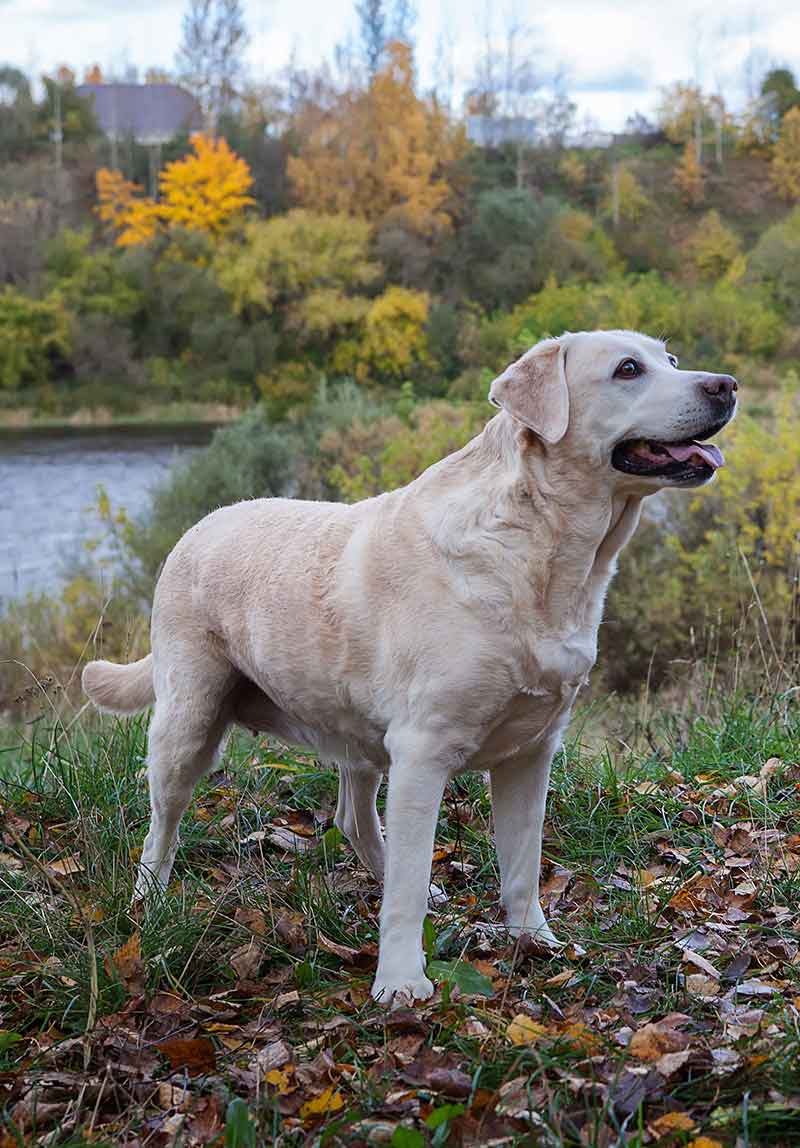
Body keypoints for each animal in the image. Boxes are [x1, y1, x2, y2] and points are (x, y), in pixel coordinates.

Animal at [82, 330, 734, 1005]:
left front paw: (535, 940)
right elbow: (409, 886)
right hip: (188, 723)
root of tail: (199, 525)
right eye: (628, 370)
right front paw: (400, 982)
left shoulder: (532, 752)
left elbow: (522, 863)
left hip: (355, 729)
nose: (726, 385)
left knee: (352, 817)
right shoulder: (424, 751)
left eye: (672, 361)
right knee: (162, 825)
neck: (540, 554)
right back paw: (149, 905)